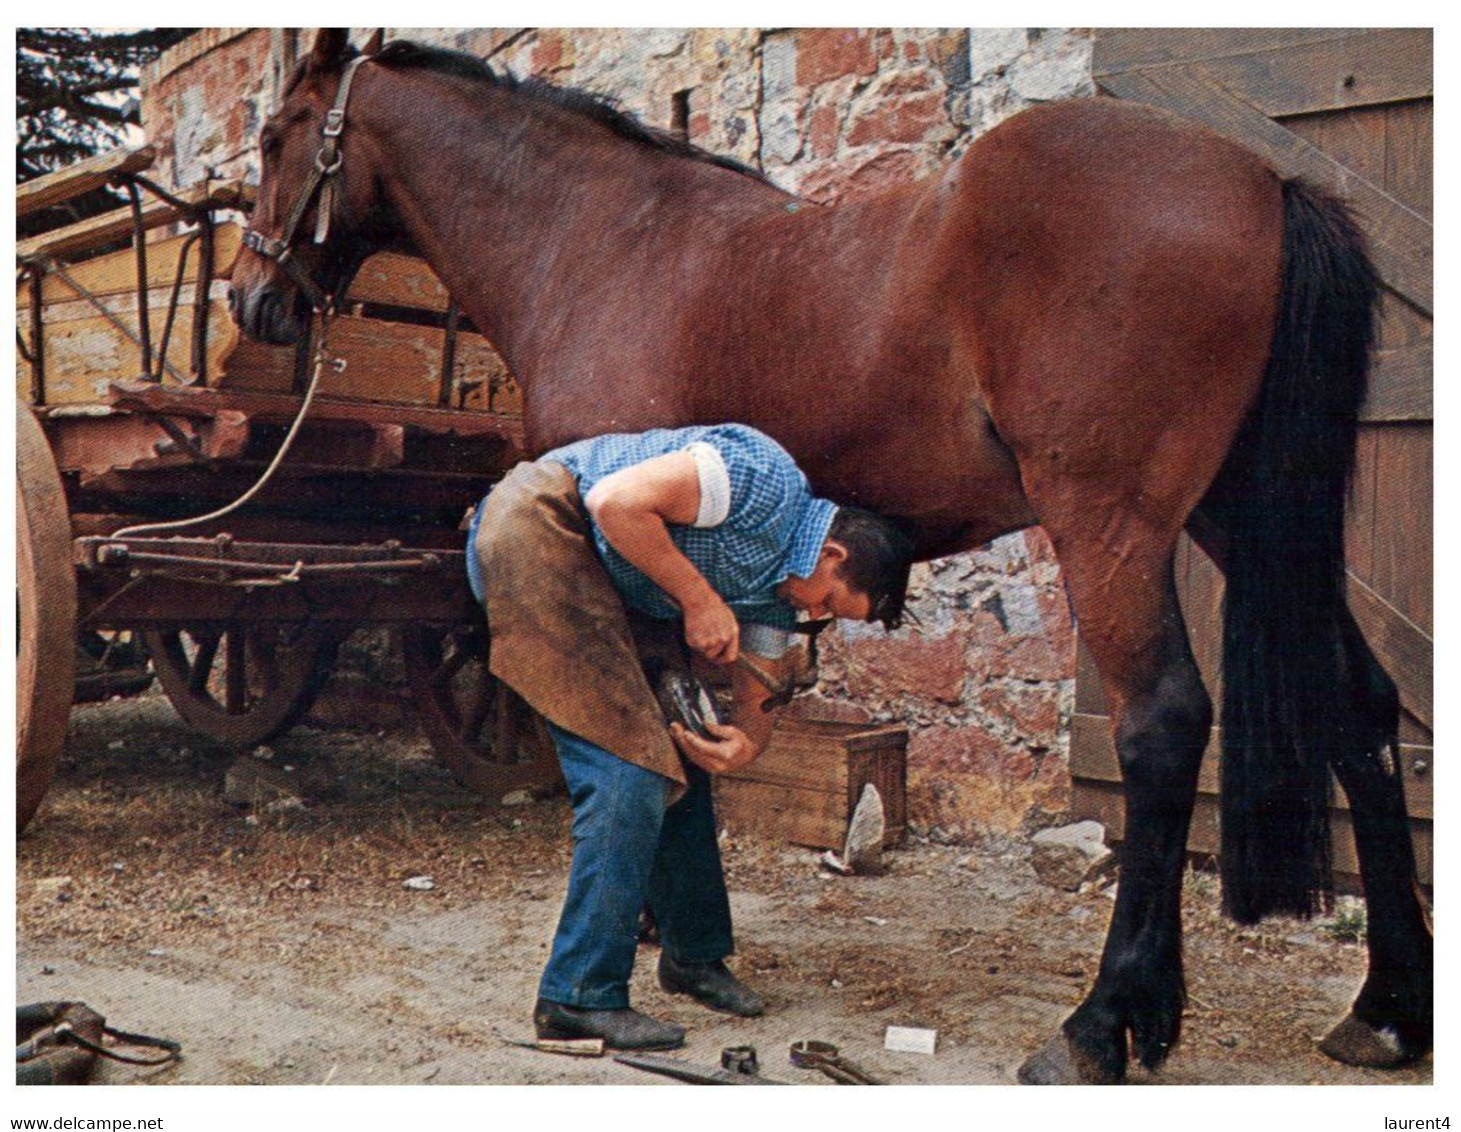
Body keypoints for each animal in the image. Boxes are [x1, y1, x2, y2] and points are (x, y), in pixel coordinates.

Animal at [233, 28, 1431, 1086]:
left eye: (277, 135)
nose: (253, 298)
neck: (601, 241)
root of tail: (1263, 179)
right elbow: (689, 706)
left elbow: (644, 720)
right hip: (1243, 517)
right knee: (1360, 708)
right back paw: (1383, 1010)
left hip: (1111, 524)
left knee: (1165, 726)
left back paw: (1099, 1026)